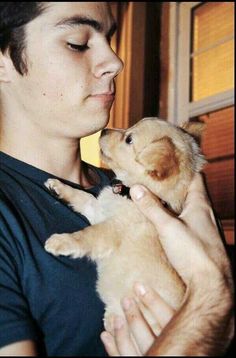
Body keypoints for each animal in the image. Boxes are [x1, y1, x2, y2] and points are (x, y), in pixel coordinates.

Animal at [44, 118, 206, 332]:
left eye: (129, 139)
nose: (103, 131)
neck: (128, 194)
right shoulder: (97, 210)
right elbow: (82, 196)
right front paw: (58, 186)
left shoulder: (109, 230)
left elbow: (86, 235)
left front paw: (60, 241)